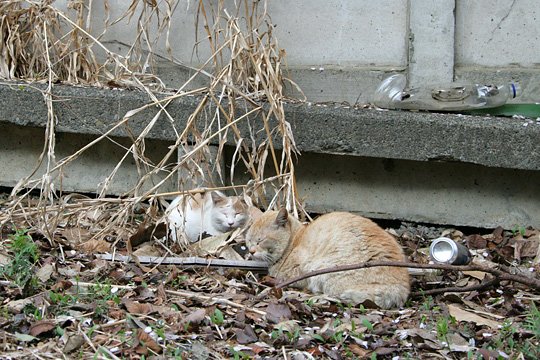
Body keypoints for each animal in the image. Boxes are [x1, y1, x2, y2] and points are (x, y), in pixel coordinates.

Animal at [245, 210, 410, 308]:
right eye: (249, 240)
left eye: (260, 240)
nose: (251, 251)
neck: (294, 242)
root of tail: (401, 287)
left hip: (324, 270)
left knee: (331, 295)